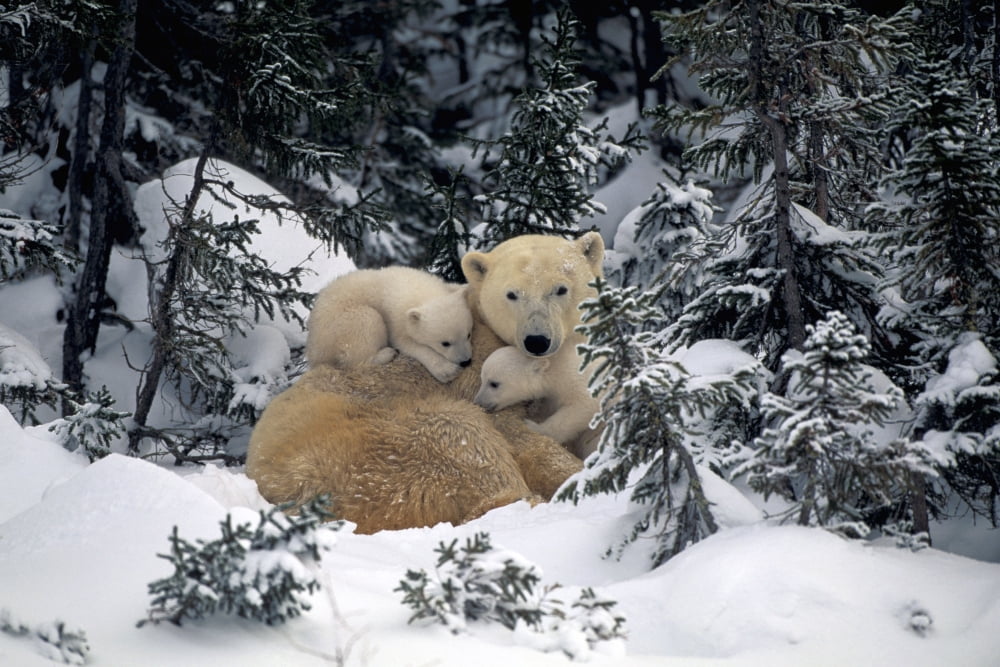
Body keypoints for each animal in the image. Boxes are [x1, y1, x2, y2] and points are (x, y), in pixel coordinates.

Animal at [305, 266, 473, 383]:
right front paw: (447, 370)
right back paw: (386, 354)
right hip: (339, 325)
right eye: (445, 343)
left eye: (468, 334)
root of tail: (313, 351)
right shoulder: (395, 318)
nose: (466, 361)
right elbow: (405, 343)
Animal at [473, 345, 602, 459]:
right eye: (482, 379)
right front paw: (535, 409)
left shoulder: (580, 380)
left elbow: (584, 405)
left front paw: (532, 426)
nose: (477, 402)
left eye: (494, 383)